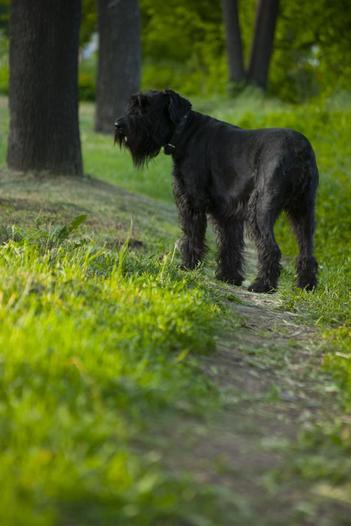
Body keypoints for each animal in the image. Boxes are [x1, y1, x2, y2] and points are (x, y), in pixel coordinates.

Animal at [115, 89, 320, 292]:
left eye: (146, 107)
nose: (118, 125)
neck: (184, 132)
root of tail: (300, 151)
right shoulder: (227, 212)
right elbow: (229, 244)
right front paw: (229, 277)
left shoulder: (191, 201)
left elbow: (192, 235)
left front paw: (187, 266)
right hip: (303, 211)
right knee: (306, 249)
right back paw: (306, 284)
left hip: (261, 209)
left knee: (271, 248)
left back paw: (262, 285)